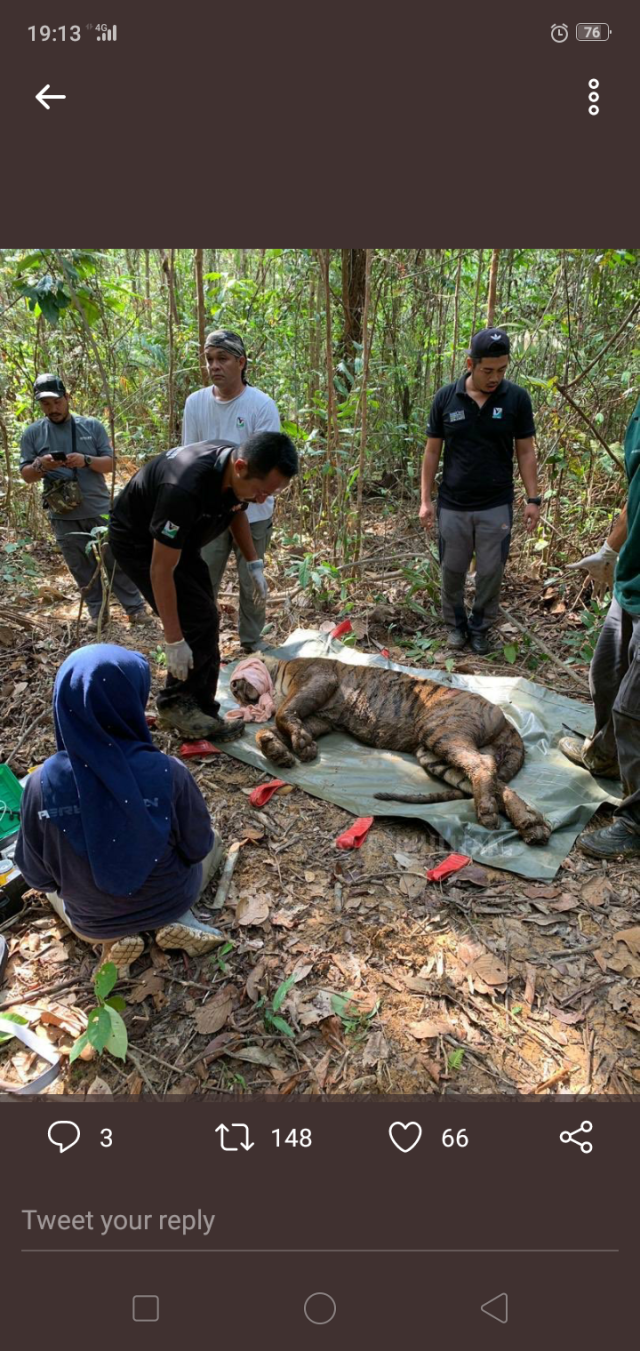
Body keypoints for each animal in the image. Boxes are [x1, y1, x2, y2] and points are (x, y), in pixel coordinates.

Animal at [230, 657, 551, 845]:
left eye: (236, 676)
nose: (232, 687)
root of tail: (503, 716)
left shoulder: (317, 680)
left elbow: (284, 715)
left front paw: (299, 746)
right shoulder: (320, 719)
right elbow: (273, 729)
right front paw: (278, 750)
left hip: (441, 731)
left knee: (483, 764)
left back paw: (488, 814)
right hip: (433, 754)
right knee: (495, 782)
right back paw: (531, 824)